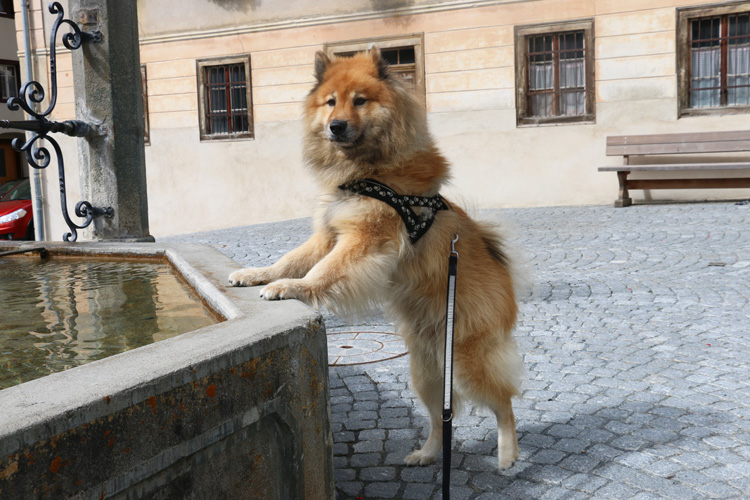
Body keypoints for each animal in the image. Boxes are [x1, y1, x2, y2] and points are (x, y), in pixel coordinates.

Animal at [229, 47, 524, 468]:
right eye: (330, 102)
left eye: (360, 101)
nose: (336, 126)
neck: (365, 170)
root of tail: (503, 269)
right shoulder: (329, 233)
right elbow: (290, 258)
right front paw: (258, 273)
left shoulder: (364, 239)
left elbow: (322, 271)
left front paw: (291, 288)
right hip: (427, 372)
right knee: (441, 418)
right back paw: (426, 454)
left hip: (467, 360)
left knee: (504, 401)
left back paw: (507, 454)